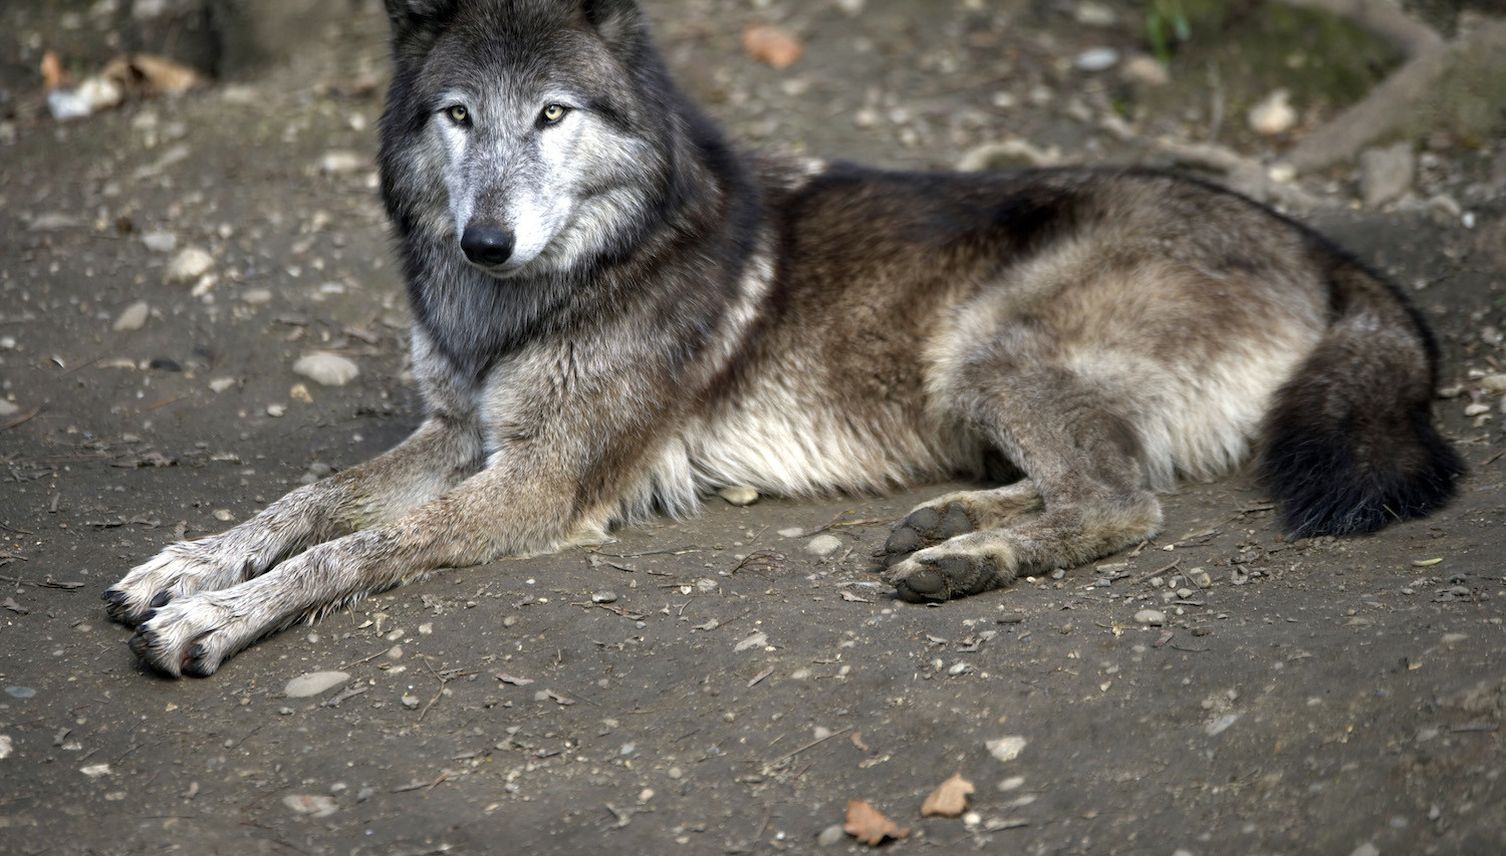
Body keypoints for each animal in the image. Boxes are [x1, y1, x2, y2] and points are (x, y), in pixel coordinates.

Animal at [103, 0, 1457, 675]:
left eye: (552, 117)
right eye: (458, 117)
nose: (487, 240)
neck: (552, 286)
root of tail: (1320, 245)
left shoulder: (535, 481)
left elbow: (353, 547)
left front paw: (217, 617)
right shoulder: (457, 430)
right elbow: (313, 498)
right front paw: (190, 565)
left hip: (986, 344)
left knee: (1125, 500)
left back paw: (967, 559)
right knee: (1089, 482)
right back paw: (945, 524)